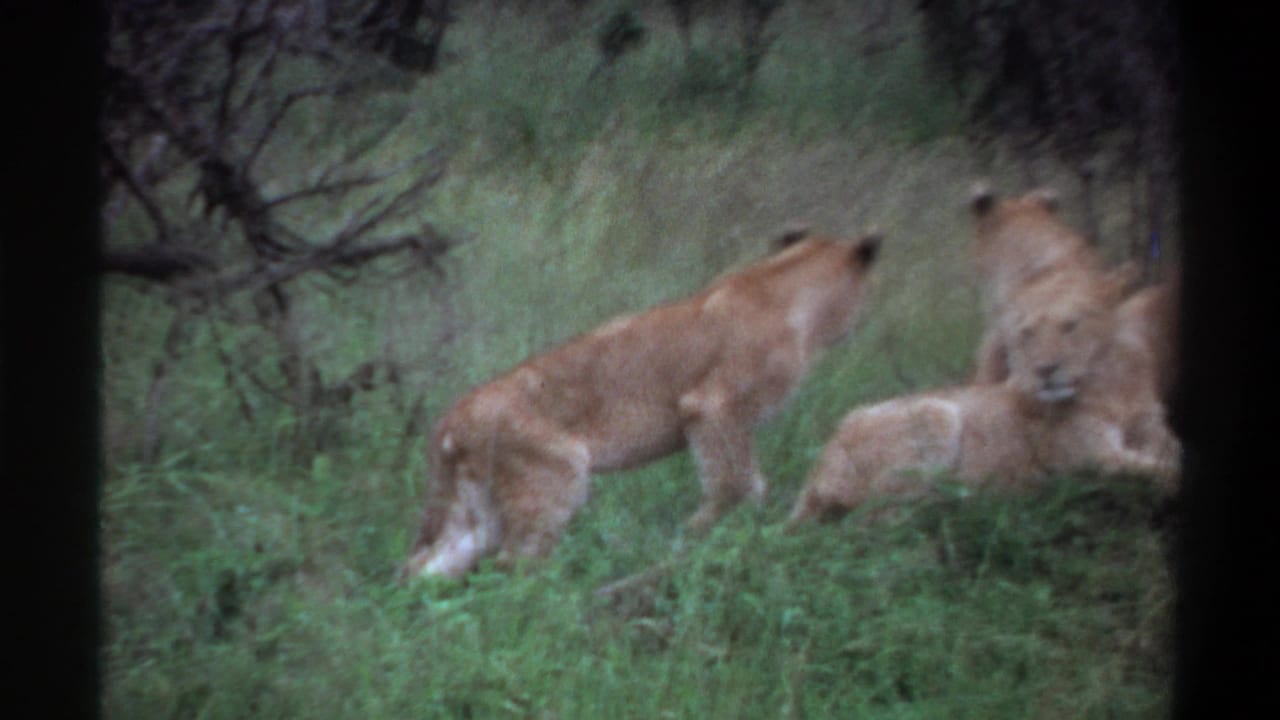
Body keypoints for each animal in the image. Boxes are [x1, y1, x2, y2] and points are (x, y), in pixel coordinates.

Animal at [402, 229, 883, 579]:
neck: (789, 288)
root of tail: (451, 418)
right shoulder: (712, 406)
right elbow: (736, 481)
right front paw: (709, 536)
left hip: (475, 505)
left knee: (429, 565)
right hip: (557, 477)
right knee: (514, 562)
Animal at [787, 264, 1179, 527]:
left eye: (1071, 325)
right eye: (1026, 333)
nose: (1044, 370)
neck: (1116, 388)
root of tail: (814, 476)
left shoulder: (1152, 432)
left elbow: (1170, 455)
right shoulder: (1092, 458)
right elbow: (1164, 470)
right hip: (936, 414)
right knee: (877, 519)